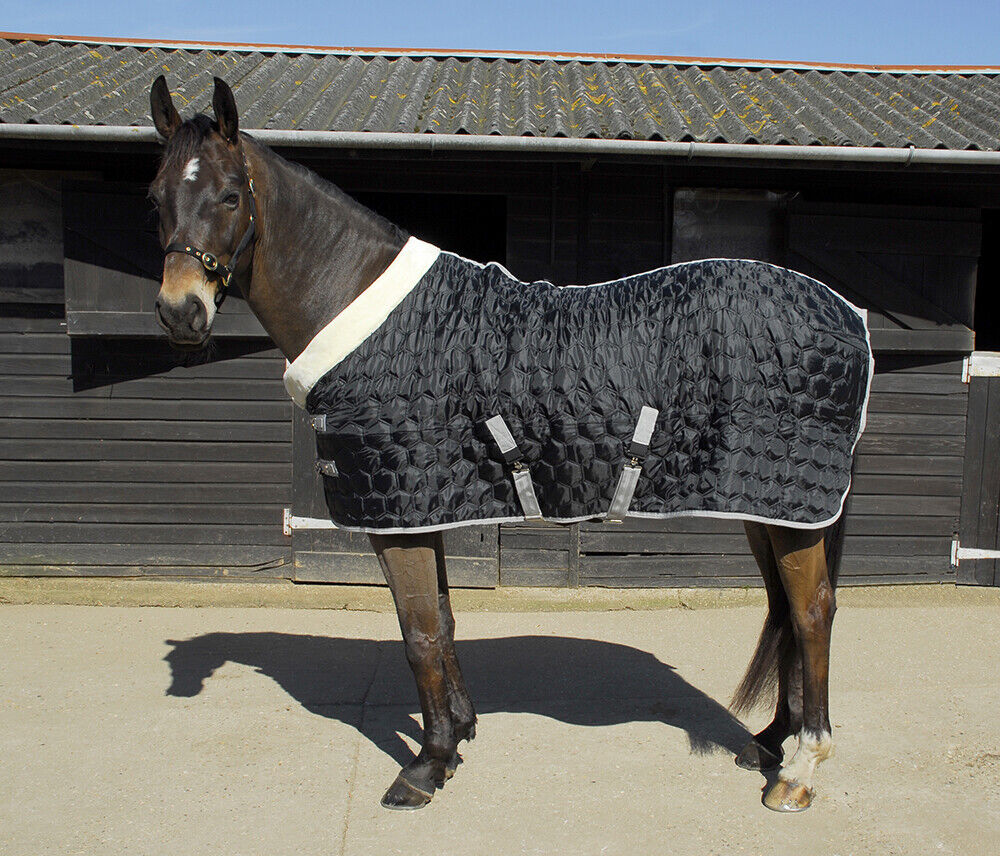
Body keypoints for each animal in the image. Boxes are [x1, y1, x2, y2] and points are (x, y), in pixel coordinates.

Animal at [148, 75, 865, 813]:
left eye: (229, 196)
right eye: (156, 196)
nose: (181, 312)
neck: (365, 309)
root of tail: (846, 313)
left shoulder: (398, 518)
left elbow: (418, 633)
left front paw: (425, 766)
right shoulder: (421, 510)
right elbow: (443, 620)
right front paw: (458, 734)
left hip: (793, 507)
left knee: (813, 612)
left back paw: (801, 769)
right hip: (766, 505)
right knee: (785, 608)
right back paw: (772, 741)